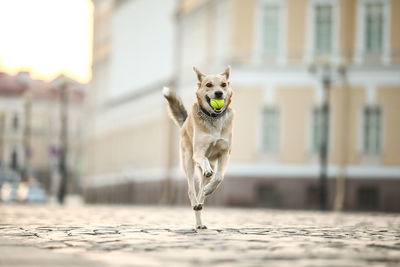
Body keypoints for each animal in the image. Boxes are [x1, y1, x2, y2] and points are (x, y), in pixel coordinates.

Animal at [163, 66, 234, 230]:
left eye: (223, 85)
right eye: (208, 85)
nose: (219, 93)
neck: (214, 118)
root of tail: (184, 123)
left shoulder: (224, 154)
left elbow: (219, 177)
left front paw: (209, 189)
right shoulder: (199, 153)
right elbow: (203, 160)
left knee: (202, 189)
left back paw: (201, 207)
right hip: (188, 162)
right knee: (191, 190)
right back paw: (196, 207)